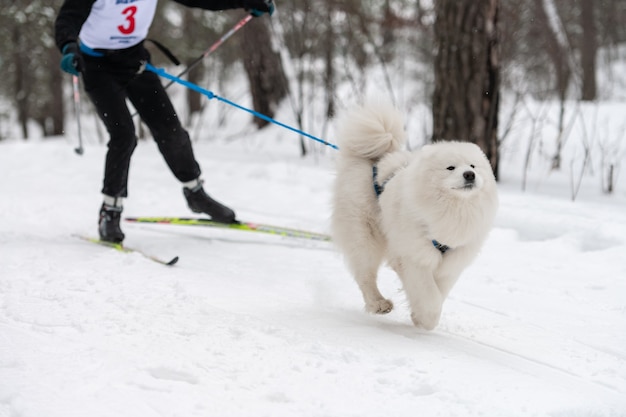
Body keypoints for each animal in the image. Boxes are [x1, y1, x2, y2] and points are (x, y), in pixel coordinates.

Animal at [330, 101, 494, 328]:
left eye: (473, 166)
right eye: (450, 167)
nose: (469, 175)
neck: (454, 211)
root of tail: (374, 159)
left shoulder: (451, 262)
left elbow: (440, 291)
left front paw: (418, 316)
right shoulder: (416, 257)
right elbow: (429, 295)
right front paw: (426, 319)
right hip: (365, 235)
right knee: (365, 274)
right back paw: (378, 304)